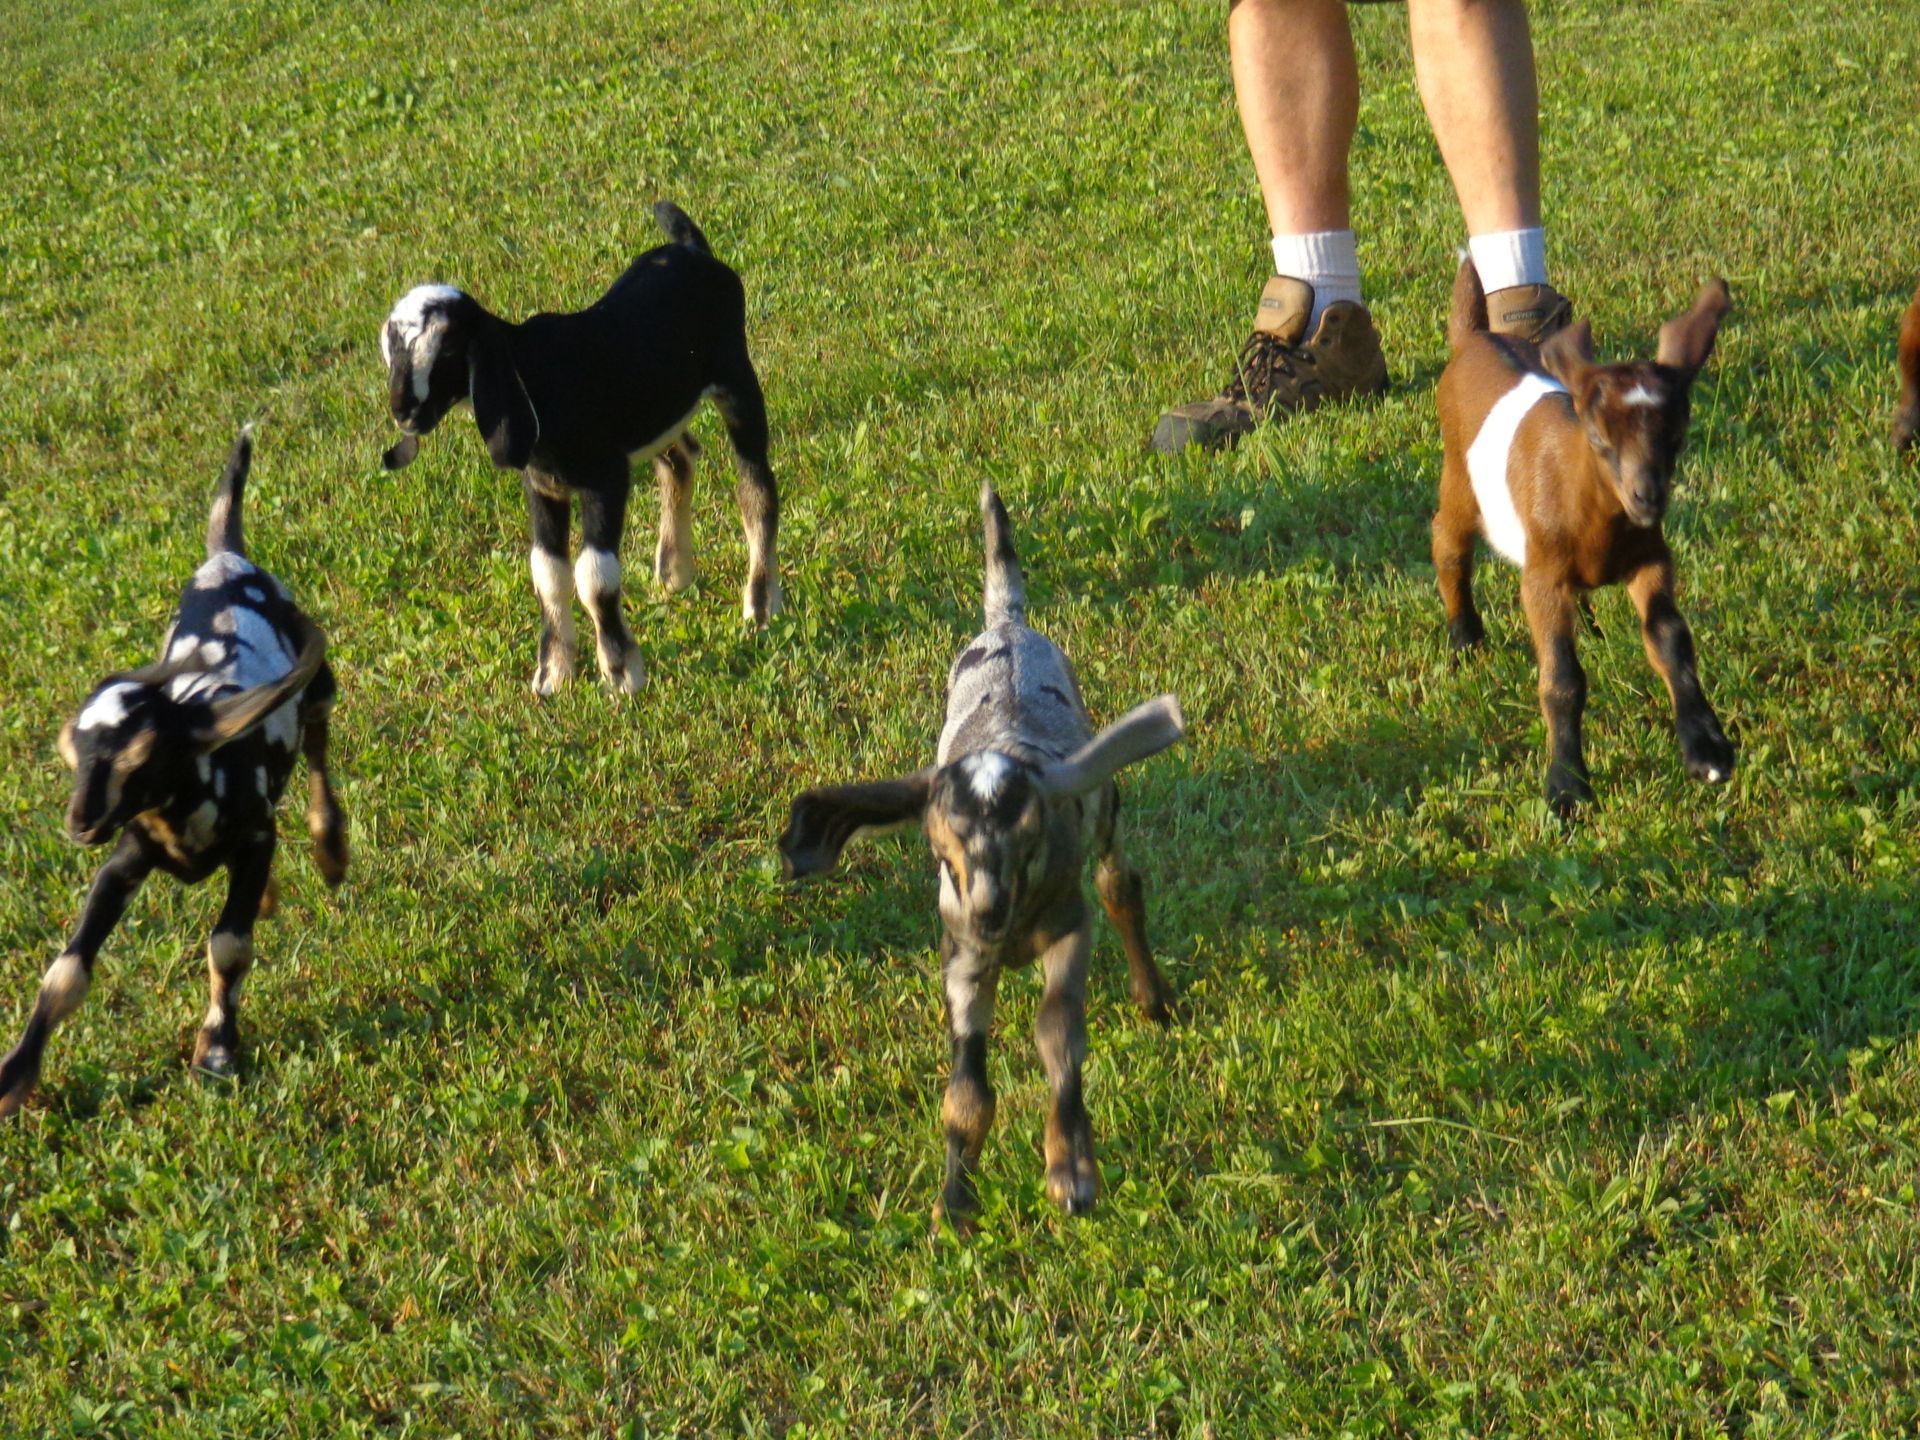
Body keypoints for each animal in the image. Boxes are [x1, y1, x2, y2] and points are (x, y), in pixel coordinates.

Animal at [0, 430, 347, 1117]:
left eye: (142, 759)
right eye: (74, 758)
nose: (80, 823)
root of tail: (227, 556)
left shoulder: (256, 836)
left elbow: (229, 946)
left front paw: (215, 1053)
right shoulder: (127, 857)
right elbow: (66, 972)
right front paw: (14, 1077)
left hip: (318, 689)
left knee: (319, 745)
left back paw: (331, 846)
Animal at [379, 201, 780, 696]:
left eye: (449, 349)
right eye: (391, 350)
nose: (404, 412)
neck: (536, 377)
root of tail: (693, 249)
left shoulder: (605, 479)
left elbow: (595, 577)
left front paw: (622, 673)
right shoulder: (544, 486)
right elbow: (548, 574)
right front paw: (553, 674)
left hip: (737, 380)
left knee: (755, 486)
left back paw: (760, 606)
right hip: (655, 412)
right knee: (680, 460)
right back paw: (673, 572)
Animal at [779, 486, 1183, 1231]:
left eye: (1030, 840)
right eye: (942, 854)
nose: (991, 911)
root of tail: (1007, 623)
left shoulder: (1067, 926)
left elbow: (1057, 1031)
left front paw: (1071, 1171)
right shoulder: (961, 954)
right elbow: (965, 1093)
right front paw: (954, 1206)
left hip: (1104, 814)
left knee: (1119, 882)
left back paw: (1153, 998)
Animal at [1433, 260, 1734, 816]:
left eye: (1677, 435)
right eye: (1598, 438)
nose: (1647, 497)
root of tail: (1474, 338)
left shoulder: (1650, 558)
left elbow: (1670, 638)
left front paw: (1706, 749)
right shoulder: (1543, 578)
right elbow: (1562, 680)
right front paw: (1567, 788)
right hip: (1459, 477)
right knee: (1448, 542)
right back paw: (1465, 639)